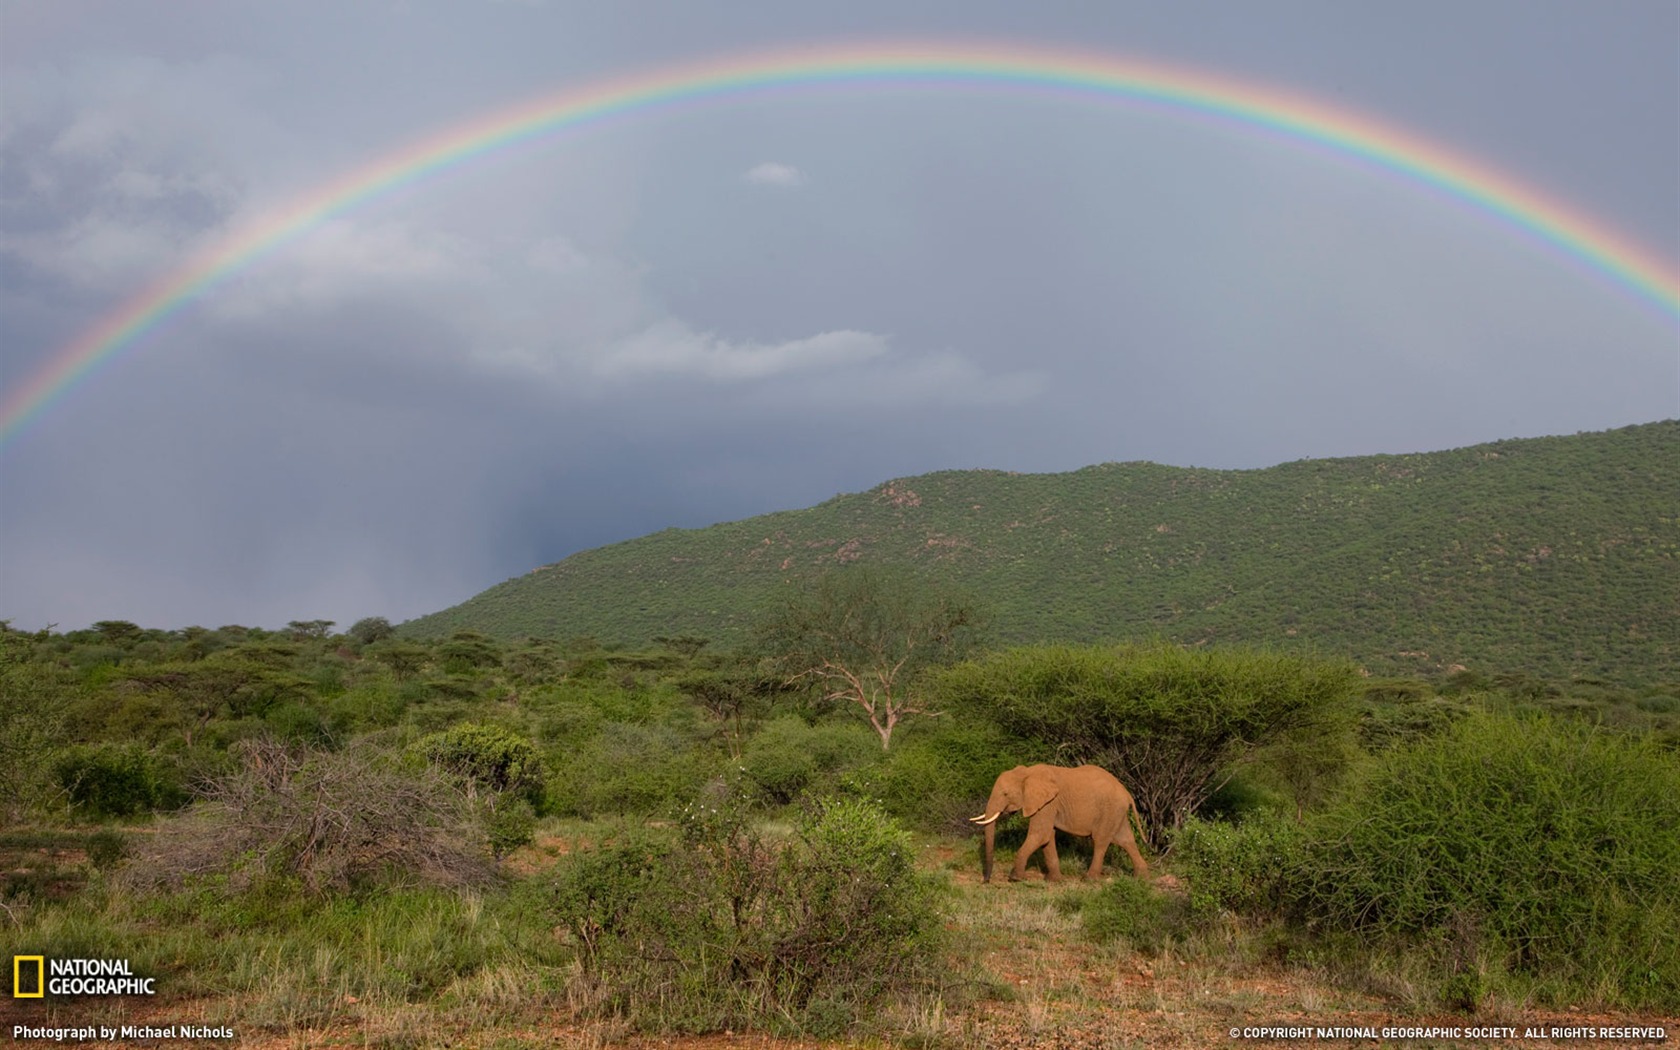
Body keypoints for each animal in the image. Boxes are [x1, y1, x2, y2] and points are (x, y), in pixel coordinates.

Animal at [967, 766, 1149, 880]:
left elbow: (1040, 835)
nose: (986, 880)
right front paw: (1053, 880)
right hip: (1117, 812)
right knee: (1126, 840)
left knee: (1101, 841)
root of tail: (1127, 793)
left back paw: (1088, 879)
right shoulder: (1048, 804)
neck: (1027, 772)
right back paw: (1141, 877)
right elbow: (1047, 838)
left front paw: (1015, 878)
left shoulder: (1048, 803)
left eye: (1005, 794)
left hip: (1110, 810)